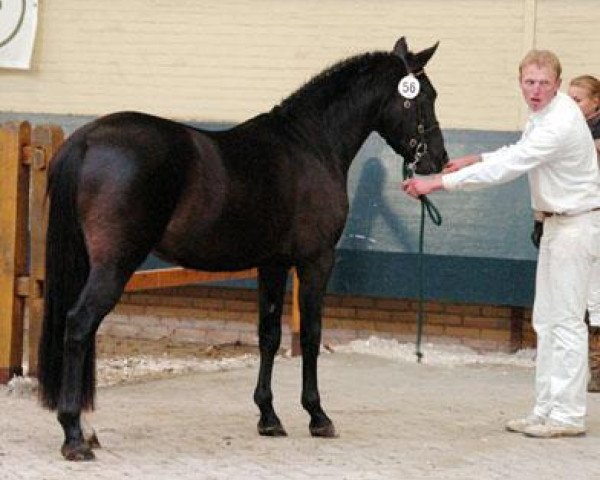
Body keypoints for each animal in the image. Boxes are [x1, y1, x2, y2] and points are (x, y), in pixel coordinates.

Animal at [37, 36, 448, 458]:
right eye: (425, 97)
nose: (438, 159)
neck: (311, 145)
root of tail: (86, 139)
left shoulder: (273, 264)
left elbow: (269, 334)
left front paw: (269, 417)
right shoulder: (316, 260)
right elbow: (311, 334)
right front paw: (318, 416)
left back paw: (85, 430)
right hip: (115, 264)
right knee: (79, 324)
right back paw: (74, 434)